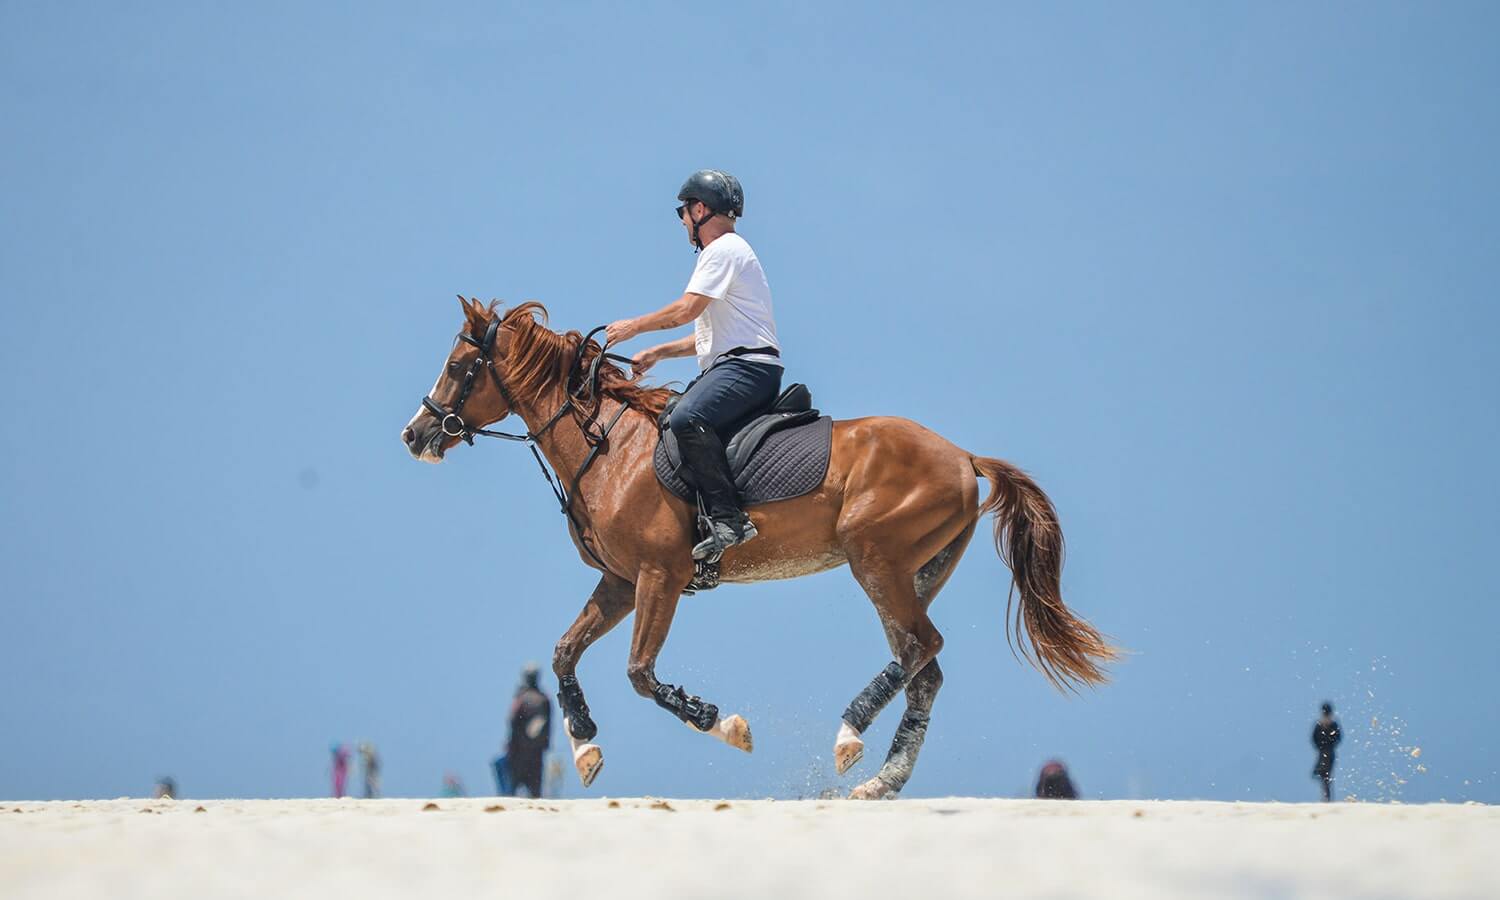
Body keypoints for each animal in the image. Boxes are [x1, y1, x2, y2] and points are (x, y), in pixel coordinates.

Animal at [405, 297, 1122, 804]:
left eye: (459, 367)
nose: (415, 435)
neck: (608, 446)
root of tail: (964, 456)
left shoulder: (659, 577)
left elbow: (639, 672)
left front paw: (721, 723)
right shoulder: (619, 583)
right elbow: (562, 654)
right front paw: (585, 749)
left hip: (875, 561)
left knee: (924, 648)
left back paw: (849, 734)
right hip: (913, 572)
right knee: (923, 668)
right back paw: (879, 781)